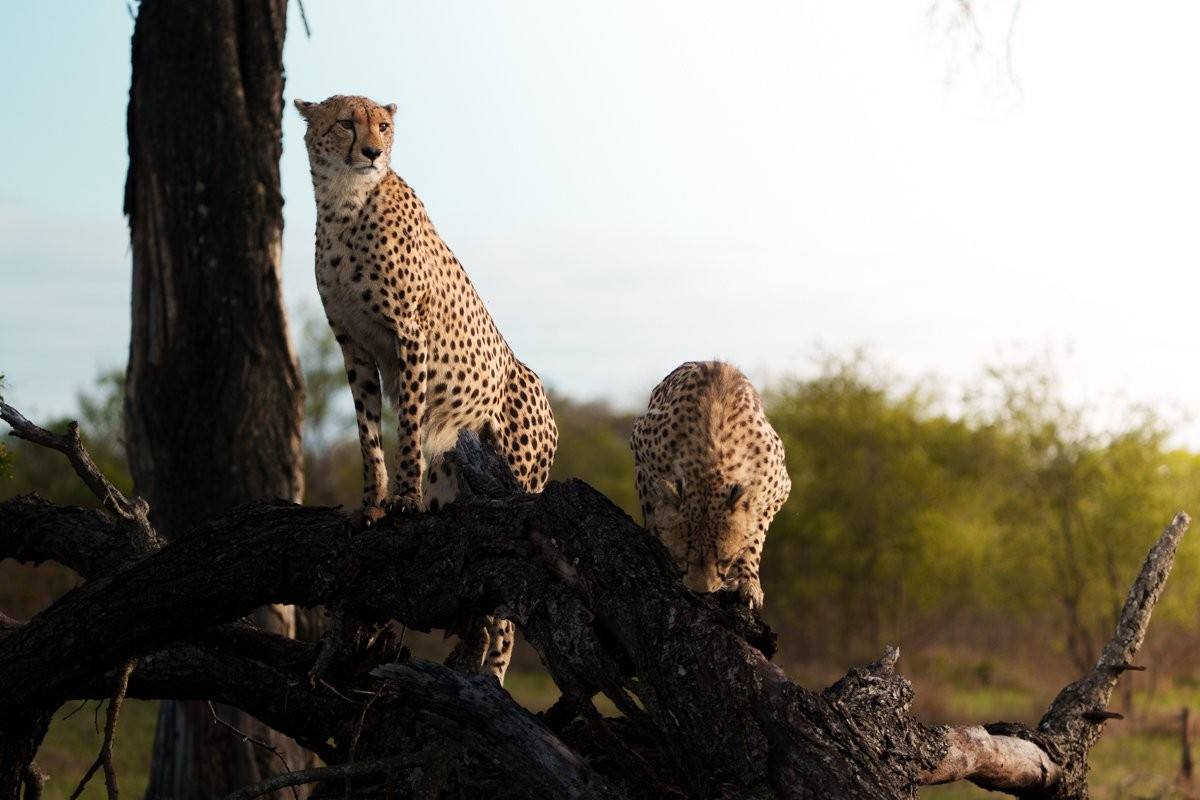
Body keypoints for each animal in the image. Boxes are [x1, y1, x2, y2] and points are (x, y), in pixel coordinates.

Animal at [295, 95, 558, 682]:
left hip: (516, 487)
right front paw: (372, 506)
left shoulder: (410, 337)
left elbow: (410, 426)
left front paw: (404, 502)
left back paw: (487, 682)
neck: (344, 202)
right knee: (482, 616)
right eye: (345, 123)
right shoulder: (353, 346)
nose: (372, 152)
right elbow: (369, 434)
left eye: (382, 125)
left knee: (505, 622)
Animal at [631, 361, 790, 610]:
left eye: (724, 559)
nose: (701, 591)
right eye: (682, 557)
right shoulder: (640, 447)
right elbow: (651, 506)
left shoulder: (778, 491)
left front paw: (748, 581)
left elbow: (754, 538)